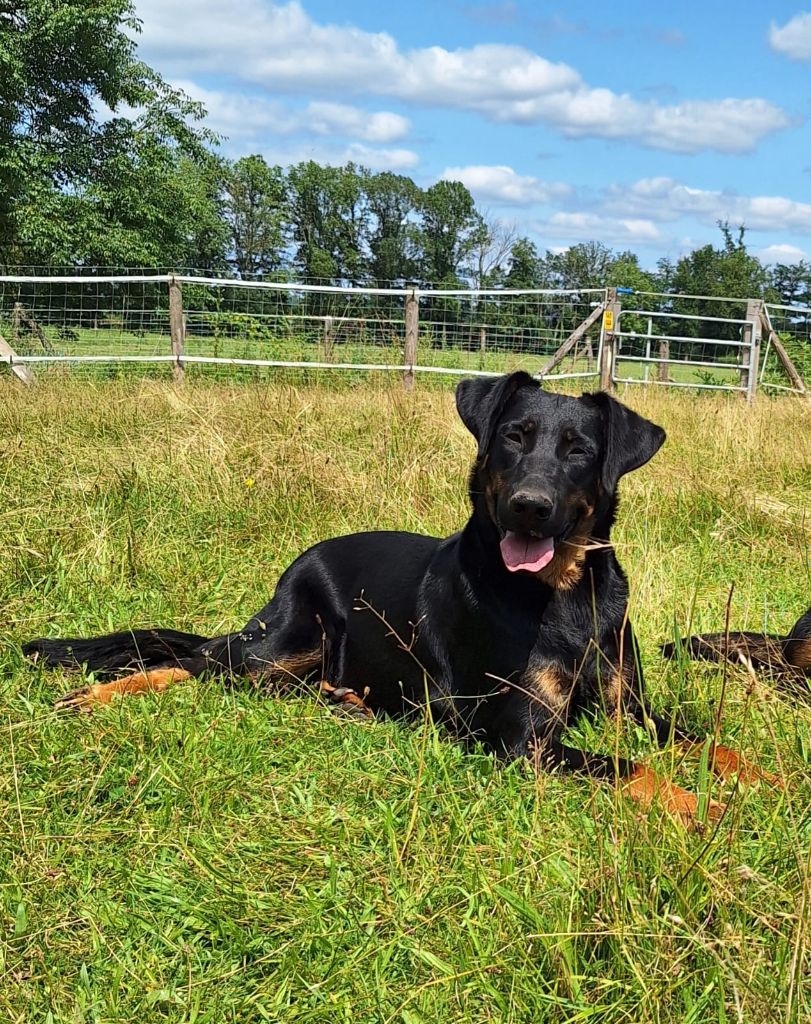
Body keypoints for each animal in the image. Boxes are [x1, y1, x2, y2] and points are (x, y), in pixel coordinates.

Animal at [22, 374, 774, 815]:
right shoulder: (521, 740)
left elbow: (701, 740)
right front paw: (703, 809)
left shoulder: (629, 707)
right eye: (513, 438)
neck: (563, 594)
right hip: (285, 641)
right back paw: (96, 696)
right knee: (193, 661)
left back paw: (349, 704)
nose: (528, 508)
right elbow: (629, 767)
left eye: (578, 451)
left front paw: (764, 779)